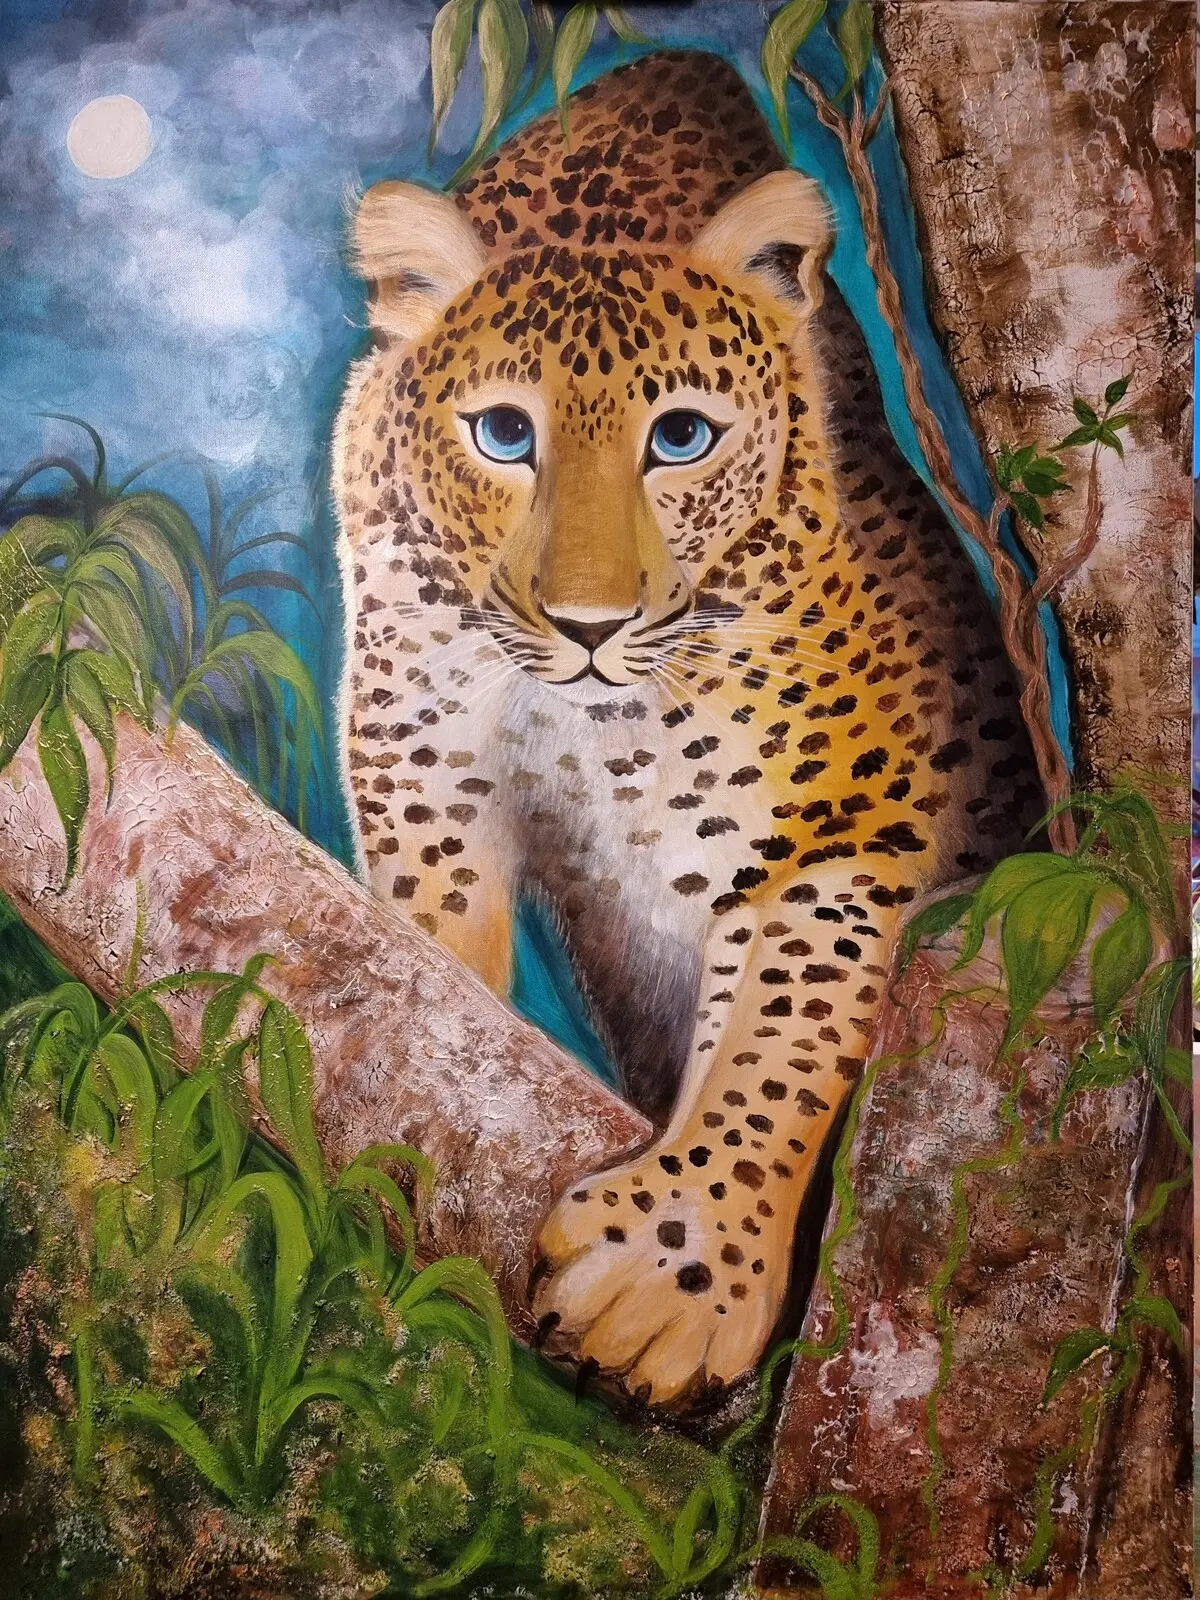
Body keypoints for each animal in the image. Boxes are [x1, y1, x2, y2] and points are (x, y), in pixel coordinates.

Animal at [332, 50, 1041, 1409]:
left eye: (680, 438)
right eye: (504, 434)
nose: (589, 623)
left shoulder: (854, 816)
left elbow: (788, 1025)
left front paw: (679, 1272)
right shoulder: (416, 746)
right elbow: (428, 945)